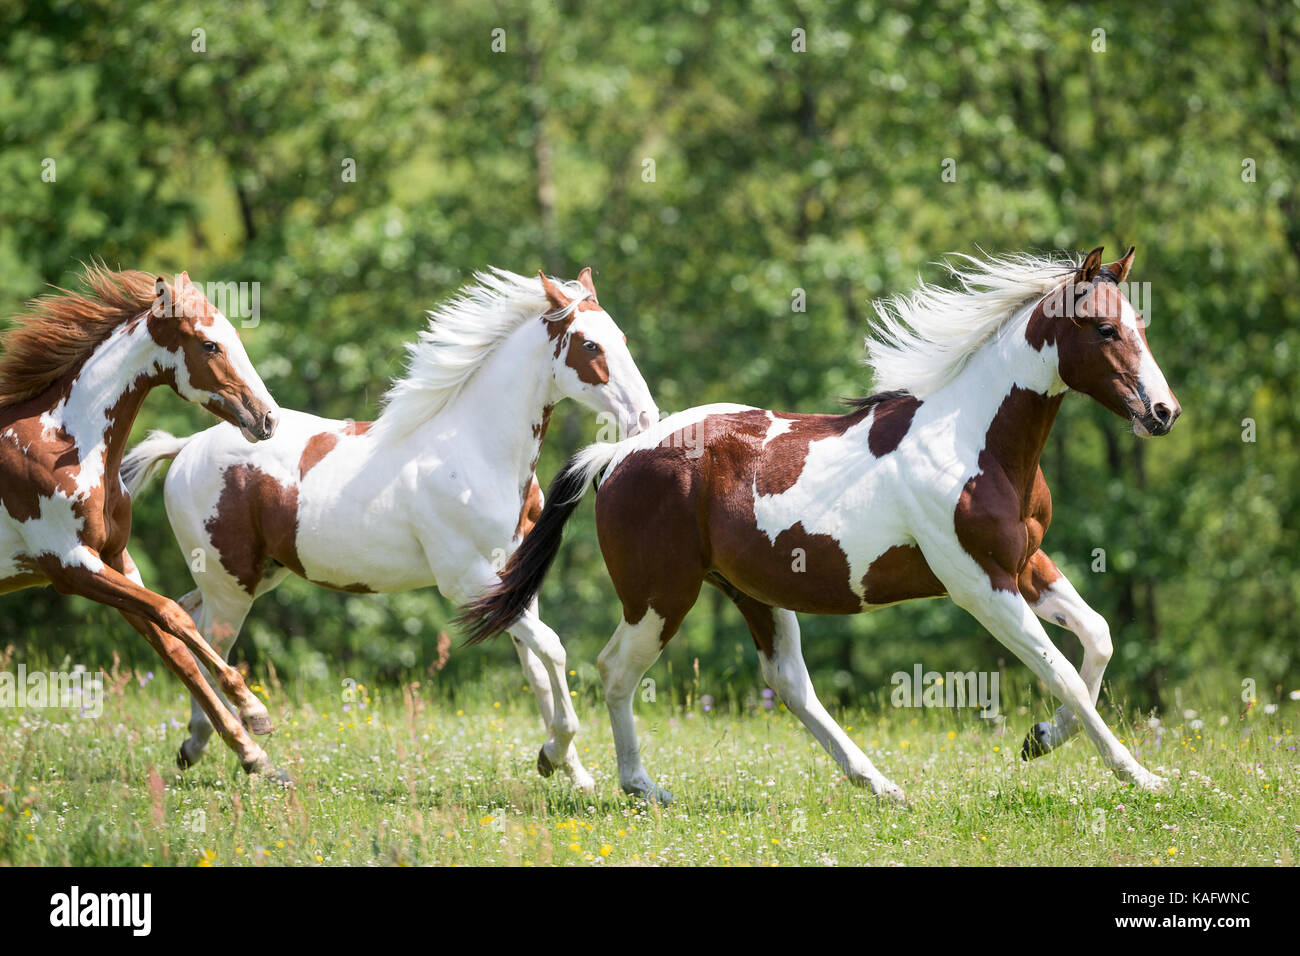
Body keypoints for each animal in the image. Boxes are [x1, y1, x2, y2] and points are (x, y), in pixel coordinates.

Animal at [0, 265, 284, 775]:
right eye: (209, 345)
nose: (267, 418)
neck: (61, 443)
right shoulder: (70, 566)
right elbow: (175, 614)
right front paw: (254, 710)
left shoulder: (114, 559)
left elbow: (174, 648)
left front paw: (253, 756)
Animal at [124, 267, 660, 785]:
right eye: (590, 346)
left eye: (623, 338)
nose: (644, 418)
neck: (476, 452)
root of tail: (185, 447)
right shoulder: (467, 582)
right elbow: (553, 648)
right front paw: (559, 753)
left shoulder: (513, 583)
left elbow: (536, 666)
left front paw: (568, 768)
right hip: (231, 586)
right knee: (208, 642)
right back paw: (220, 745)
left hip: (253, 577)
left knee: (185, 616)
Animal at [465, 251, 1180, 806]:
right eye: (1105, 328)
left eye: (1140, 324)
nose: (1163, 412)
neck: (975, 443)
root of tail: (617, 456)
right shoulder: (980, 585)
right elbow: (1061, 671)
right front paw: (1142, 777)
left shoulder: (1027, 564)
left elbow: (1097, 639)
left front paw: (1041, 739)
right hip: (661, 596)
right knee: (616, 671)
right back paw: (634, 785)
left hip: (753, 591)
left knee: (788, 682)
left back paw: (880, 784)